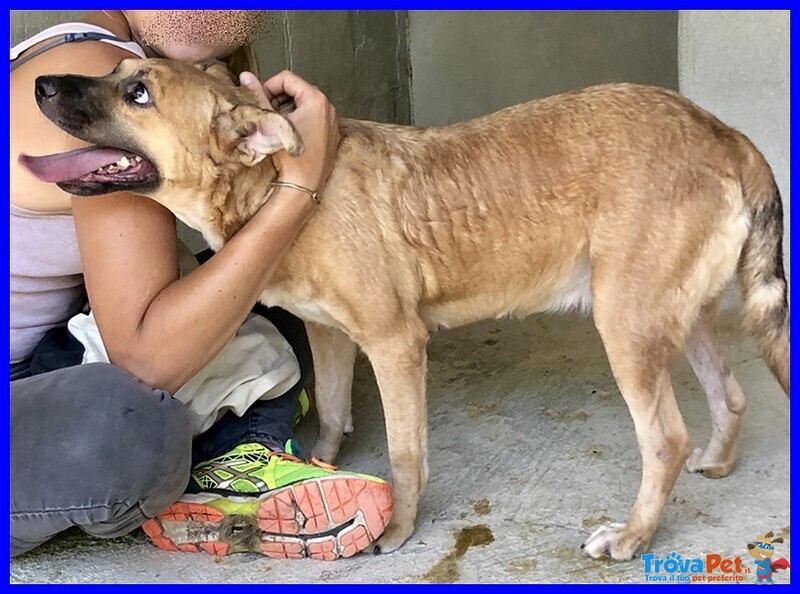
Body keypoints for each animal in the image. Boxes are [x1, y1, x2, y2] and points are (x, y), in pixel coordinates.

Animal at [21, 57, 792, 556]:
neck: (280, 188)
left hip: (626, 325)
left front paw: (395, 529)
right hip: (675, 315)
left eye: (139, 91)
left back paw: (633, 537)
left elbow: (405, 451)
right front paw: (319, 477)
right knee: (730, 395)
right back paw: (718, 463)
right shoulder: (328, 336)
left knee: (665, 439)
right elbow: (332, 416)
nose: (39, 81)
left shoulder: (395, 343)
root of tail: (723, 131)